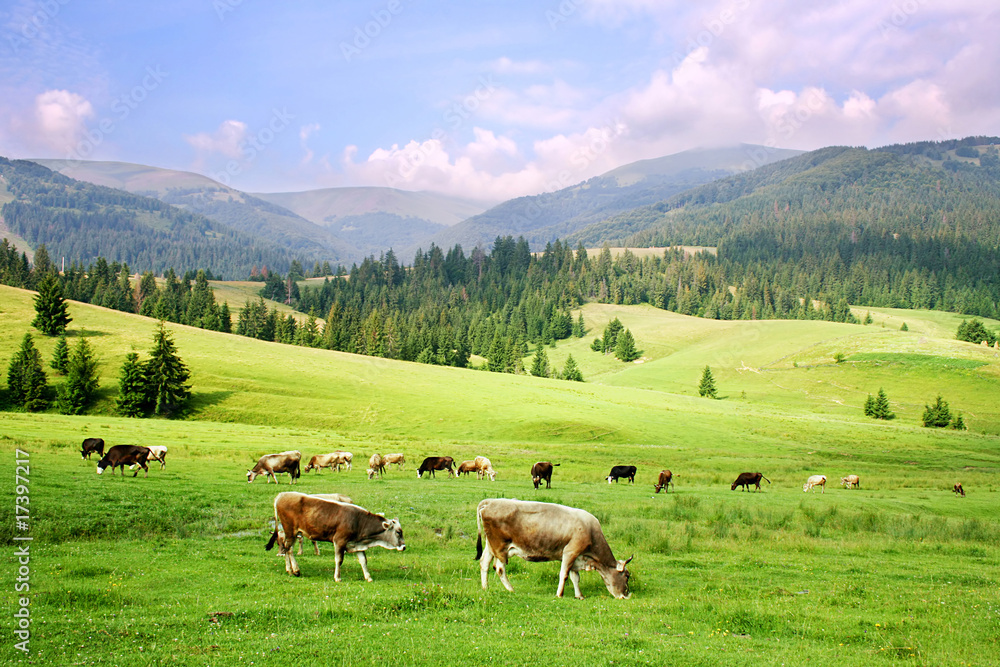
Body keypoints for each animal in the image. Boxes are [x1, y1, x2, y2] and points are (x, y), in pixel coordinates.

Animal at [268, 490, 408, 580]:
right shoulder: (339, 541)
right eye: (398, 532)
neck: (358, 521)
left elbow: (363, 561)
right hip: (290, 531)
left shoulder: (356, 543)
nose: (404, 547)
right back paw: (295, 570)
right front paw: (337, 577)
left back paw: (289, 569)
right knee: (289, 549)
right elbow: (339, 560)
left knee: (287, 548)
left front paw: (368, 577)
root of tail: (281, 495)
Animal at [476, 496, 632, 600]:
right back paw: (511, 589)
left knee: (484, 563)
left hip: (491, 545)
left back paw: (485, 587)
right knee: (499, 568)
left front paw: (579, 595)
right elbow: (564, 574)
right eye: (627, 575)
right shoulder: (570, 551)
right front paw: (559, 594)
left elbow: (575, 577)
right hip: (500, 547)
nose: (626, 595)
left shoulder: (576, 557)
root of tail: (490, 501)